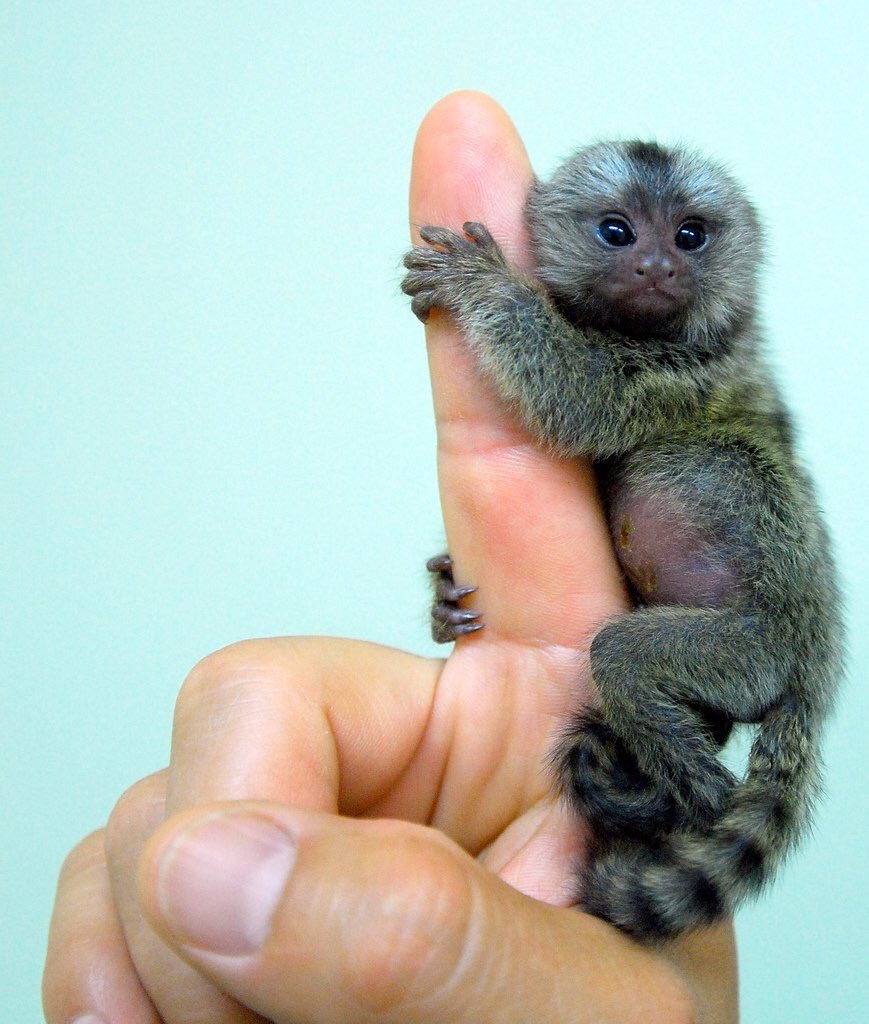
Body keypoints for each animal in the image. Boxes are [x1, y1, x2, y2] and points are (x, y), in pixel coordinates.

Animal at [401, 140, 843, 942]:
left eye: (689, 237)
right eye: (617, 232)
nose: (658, 267)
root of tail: (813, 679)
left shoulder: (684, 371)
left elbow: (579, 395)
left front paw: (485, 284)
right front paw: (443, 594)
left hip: (752, 655)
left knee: (626, 659)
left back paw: (686, 795)